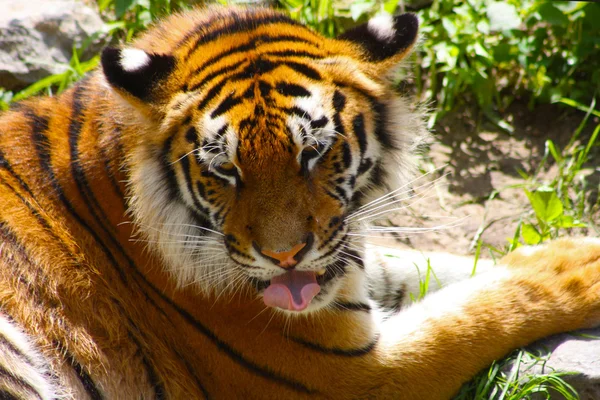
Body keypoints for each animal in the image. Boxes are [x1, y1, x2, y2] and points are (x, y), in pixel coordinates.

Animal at [1, 6, 600, 400]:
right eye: (225, 169)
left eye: (314, 153)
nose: (285, 257)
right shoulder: (349, 375)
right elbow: (475, 317)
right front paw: (575, 267)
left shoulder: (344, 257)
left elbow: (438, 269)